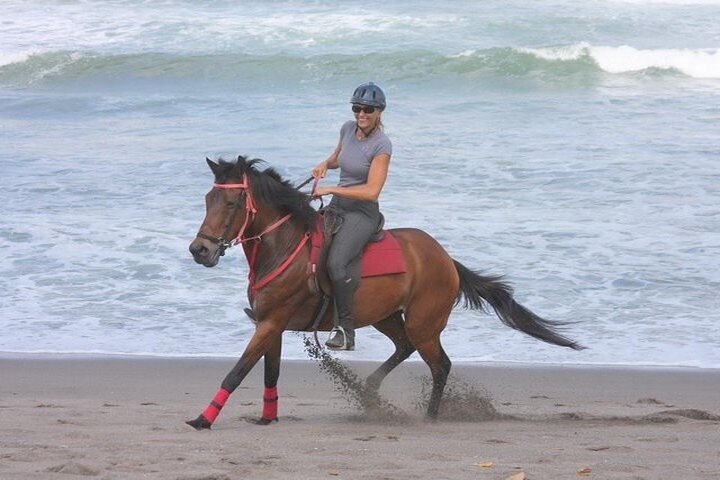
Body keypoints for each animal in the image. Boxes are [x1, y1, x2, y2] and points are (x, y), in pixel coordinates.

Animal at [186, 158, 584, 432]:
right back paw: (370, 391)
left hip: (425, 324)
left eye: (233, 203)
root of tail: (446, 259)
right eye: (207, 199)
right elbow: (270, 373)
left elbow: (237, 372)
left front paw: (203, 419)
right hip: (386, 316)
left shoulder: (271, 324)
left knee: (440, 364)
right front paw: (267, 417)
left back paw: (430, 416)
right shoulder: (272, 326)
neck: (283, 246)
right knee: (404, 347)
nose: (199, 250)